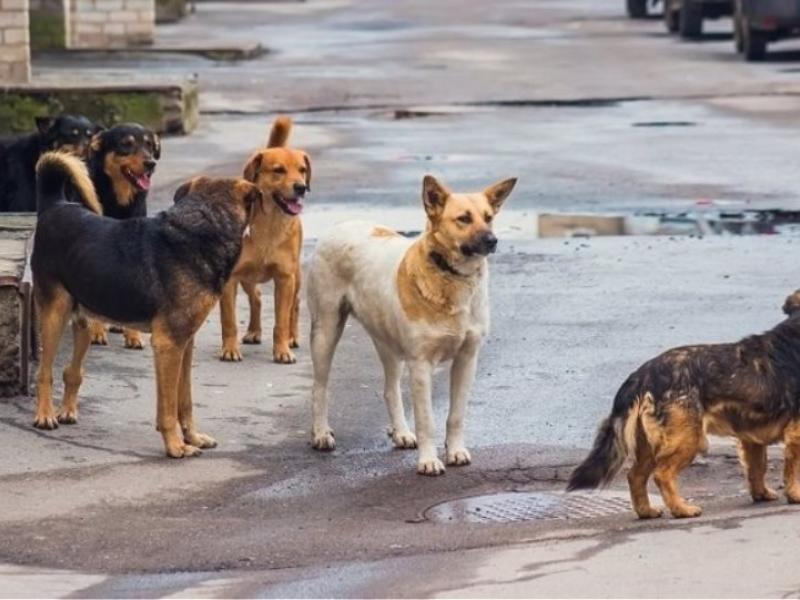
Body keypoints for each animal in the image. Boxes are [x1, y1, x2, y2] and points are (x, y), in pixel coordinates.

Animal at [31, 152, 260, 458]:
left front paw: (193, 437)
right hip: (54, 315)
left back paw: (67, 411)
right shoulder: (168, 345)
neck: (202, 226)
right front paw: (175, 446)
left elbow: (184, 400)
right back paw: (45, 415)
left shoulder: (185, 343)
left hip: (84, 321)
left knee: (72, 371)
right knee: (44, 372)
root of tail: (55, 205)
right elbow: (168, 407)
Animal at [84, 122, 161, 346]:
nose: (151, 163)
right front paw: (96, 331)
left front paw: (133, 335)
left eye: (149, 145)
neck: (119, 202)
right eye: (126, 144)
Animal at [220, 115, 310, 364]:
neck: (269, 225)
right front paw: (229, 349)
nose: (301, 187)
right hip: (247, 278)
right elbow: (229, 321)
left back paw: (292, 336)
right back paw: (253, 331)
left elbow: (281, 321)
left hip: (296, 277)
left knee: (295, 305)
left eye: (302, 170)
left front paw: (282, 350)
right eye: (278, 170)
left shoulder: (285, 278)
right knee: (257, 298)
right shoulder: (230, 279)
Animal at [306, 173, 520, 474]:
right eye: (463, 219)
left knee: (390, 389)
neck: (450, 276)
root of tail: (341, 224)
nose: (493, 240)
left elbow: (456, 415)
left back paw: (401, 432)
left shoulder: (467, 359)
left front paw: (455, 451)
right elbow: (427, 420)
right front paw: (429, 461)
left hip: (388, 344)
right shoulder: (421, 365)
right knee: (319, 387)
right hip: (326, 331)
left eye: (488, 217)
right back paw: (321, 433)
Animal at [568, 290, 800, 520]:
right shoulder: (795, 433)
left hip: (650, 444)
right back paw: (681, 509)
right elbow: (792, 469)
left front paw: (761, 494)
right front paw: (794, 495)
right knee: (662, 474)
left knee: (635, 475)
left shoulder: (752, 438)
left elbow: (757, 469)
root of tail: (642, 375)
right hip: (689, 439)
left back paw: (646, 511)